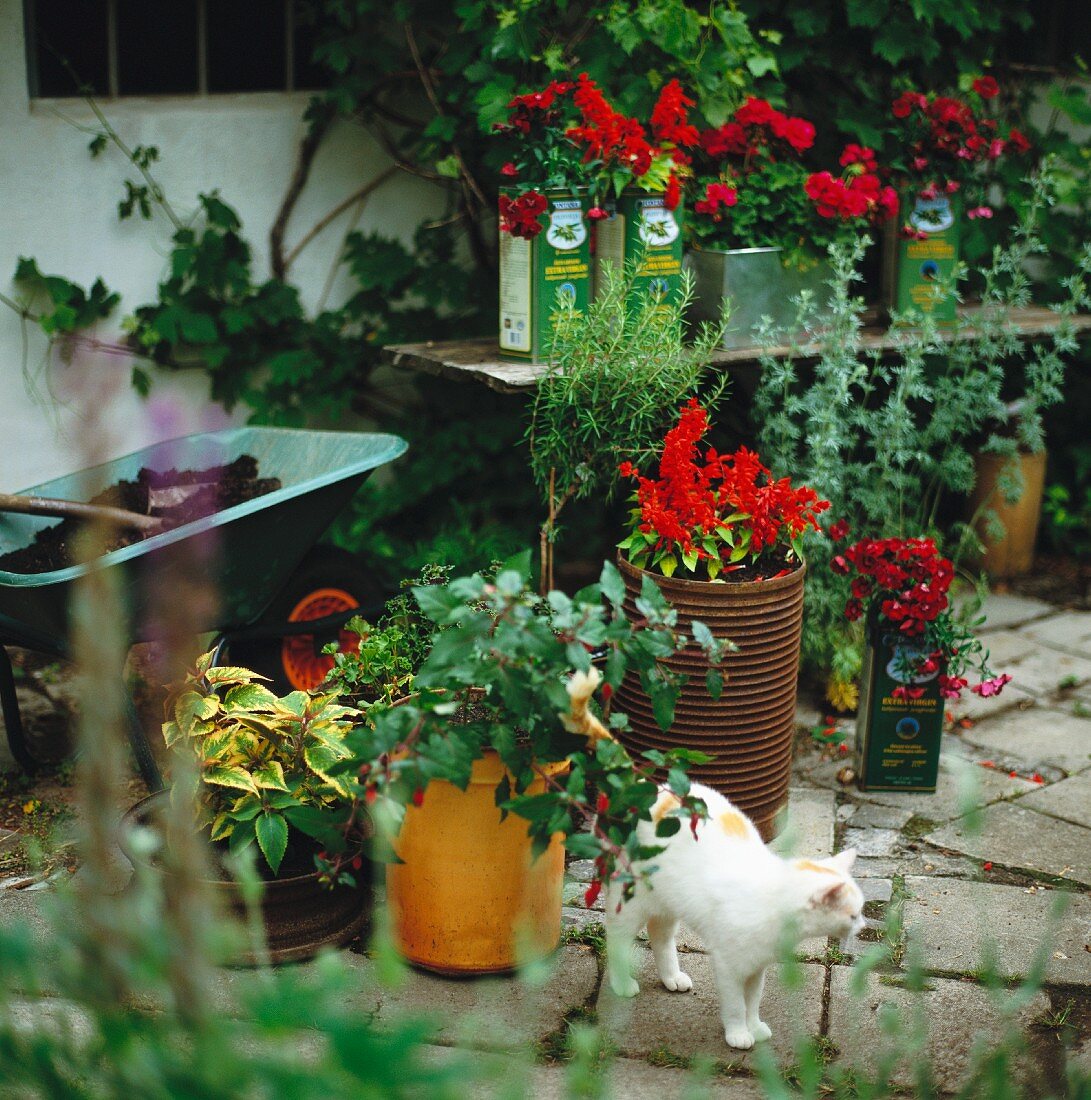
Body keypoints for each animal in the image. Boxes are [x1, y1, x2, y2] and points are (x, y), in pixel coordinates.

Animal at [607, 783, 862, 1047]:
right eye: (854, 916)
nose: (863, 926)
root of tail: (645, 786)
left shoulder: (757, 966)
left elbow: (752, 1001)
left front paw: (754, 1027)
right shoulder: (728, 966)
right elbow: (736, 1006)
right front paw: (738, 1033)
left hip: (669, 903)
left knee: (661, 936)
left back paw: (672, 977)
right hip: (632, 903)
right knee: (616, 939)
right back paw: (621, 982)